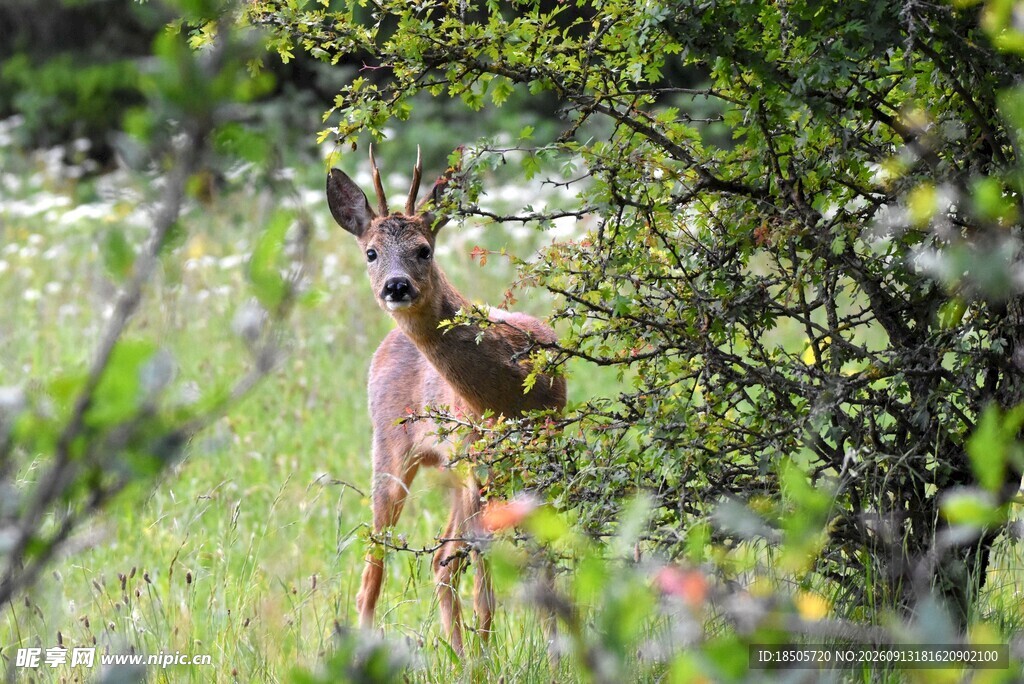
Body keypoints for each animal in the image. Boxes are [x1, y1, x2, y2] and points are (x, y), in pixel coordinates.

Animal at [326, 147, 567, 654]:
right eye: (371, 252)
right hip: (392, 450)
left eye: (425, 249)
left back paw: (461, 654)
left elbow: (544, 564)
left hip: (456, 469)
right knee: (377, 567)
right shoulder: (479, 463)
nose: (397, 286)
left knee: (442, 560)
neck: (511, 390)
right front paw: (487, 660)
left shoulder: (542, 452)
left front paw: (557, 655)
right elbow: (481, 579)